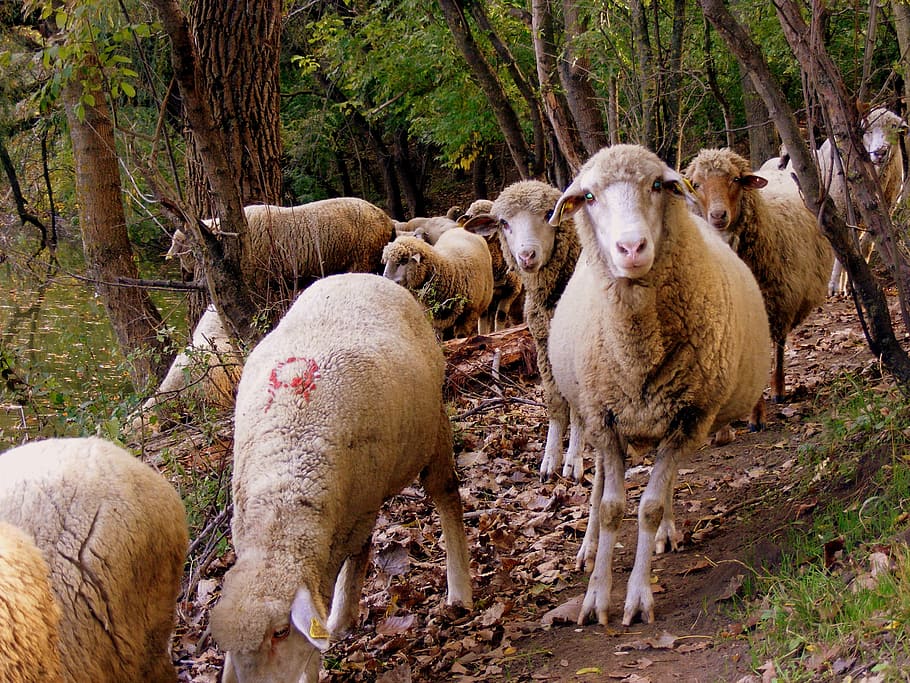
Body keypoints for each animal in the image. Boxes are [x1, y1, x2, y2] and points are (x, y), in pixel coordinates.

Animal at [209, 272, 473, 683]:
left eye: (281, 632)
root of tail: (360, 275)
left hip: (432, 431)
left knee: (445, 495)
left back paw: (460, 592)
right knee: (364, 546)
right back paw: (343, 618)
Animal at [462, 180, 584, 481]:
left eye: (550, 213)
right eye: (503, 223)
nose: (526, 255)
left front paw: (573, 460)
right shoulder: (544, 344)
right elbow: (555, 402)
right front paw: (550, 460)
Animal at [547, 143, 771, 626]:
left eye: (656, 185)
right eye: (589, 197)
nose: (631, 247)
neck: (636, 352)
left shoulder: (687, 418)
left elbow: (648, 506)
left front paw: (637, 596)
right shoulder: (605, 419)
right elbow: (612, 509)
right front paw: (596, 598)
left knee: (662, 489)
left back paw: (667, 529)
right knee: (598, 487)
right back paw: (588, 548)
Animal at [684, 147, 834, 404]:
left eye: (736, 179)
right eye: (696, 184)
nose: (718, 215)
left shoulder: (780, 301)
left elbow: (777, 346)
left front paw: (775, 390)